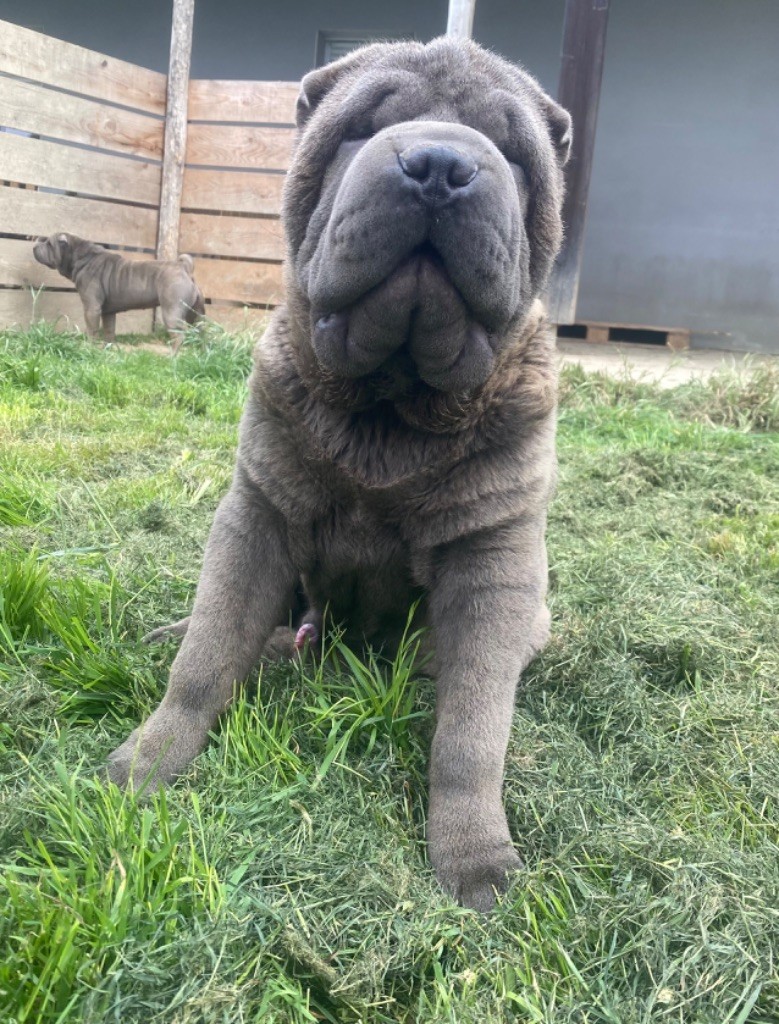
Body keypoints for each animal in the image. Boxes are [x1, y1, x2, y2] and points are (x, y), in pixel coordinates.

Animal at [107, 36, 573, 909]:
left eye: (512, 153)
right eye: (363, 128)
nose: (439, 164)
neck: (391, 404)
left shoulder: (494, 562)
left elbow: (472, 730)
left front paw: (475, 859)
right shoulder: (255, 516)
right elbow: (204, 660)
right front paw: (146, 765)